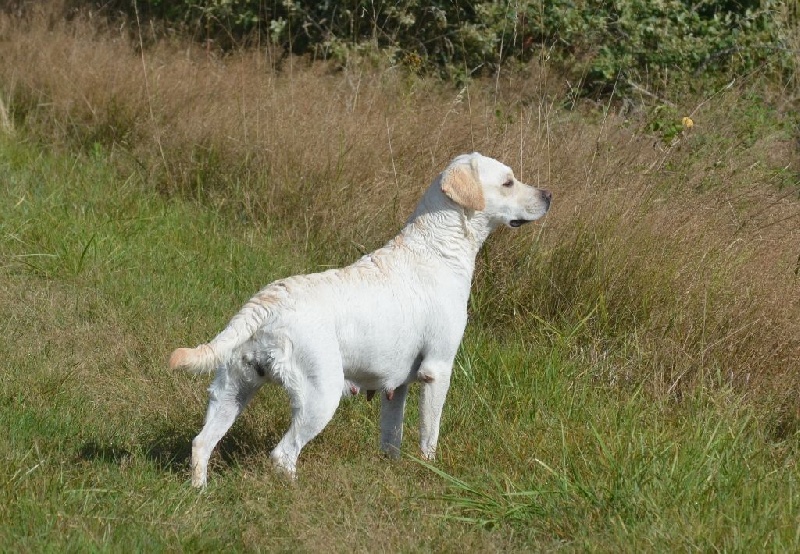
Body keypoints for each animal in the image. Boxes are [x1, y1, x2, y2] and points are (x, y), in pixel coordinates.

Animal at [170, 151, 552, 484]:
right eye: (508, 182)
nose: (548, 194)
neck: (439, 248)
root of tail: (266, 302)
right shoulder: (437, 369)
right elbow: (429, 434)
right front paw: (430, 469)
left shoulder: (396, 386)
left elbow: (391, 437)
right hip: (320, 395)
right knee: (282, 455)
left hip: (232, 389)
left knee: (201, 442)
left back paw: (199, 491)